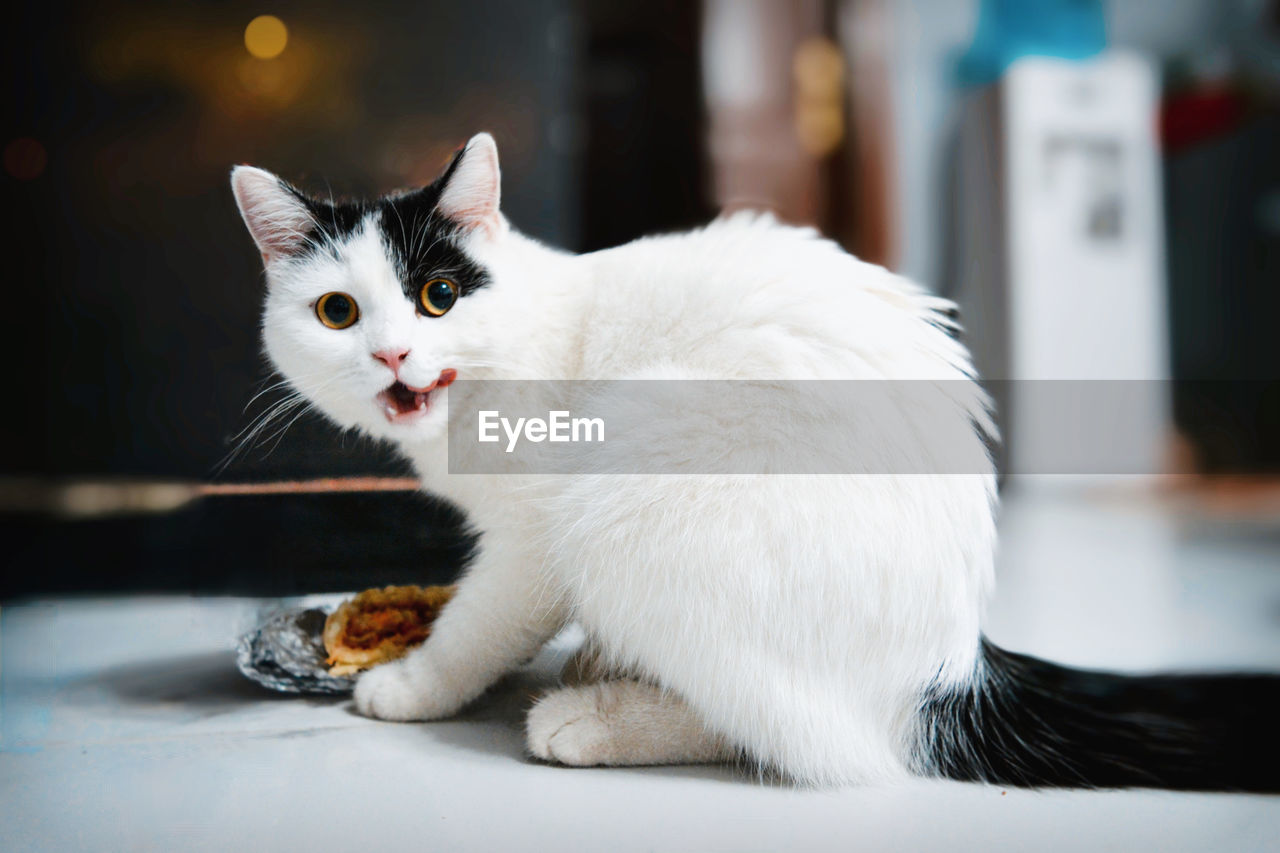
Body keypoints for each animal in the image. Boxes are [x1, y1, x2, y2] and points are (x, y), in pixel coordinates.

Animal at [232, 133, 1280, 788]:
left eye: (439, 294)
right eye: (338, 311)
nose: (392, 355)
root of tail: (946, 669)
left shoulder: (533, 538)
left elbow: (479, 624)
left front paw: (414, 685)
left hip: (625, 499)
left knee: (815, 736)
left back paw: (597, 715)